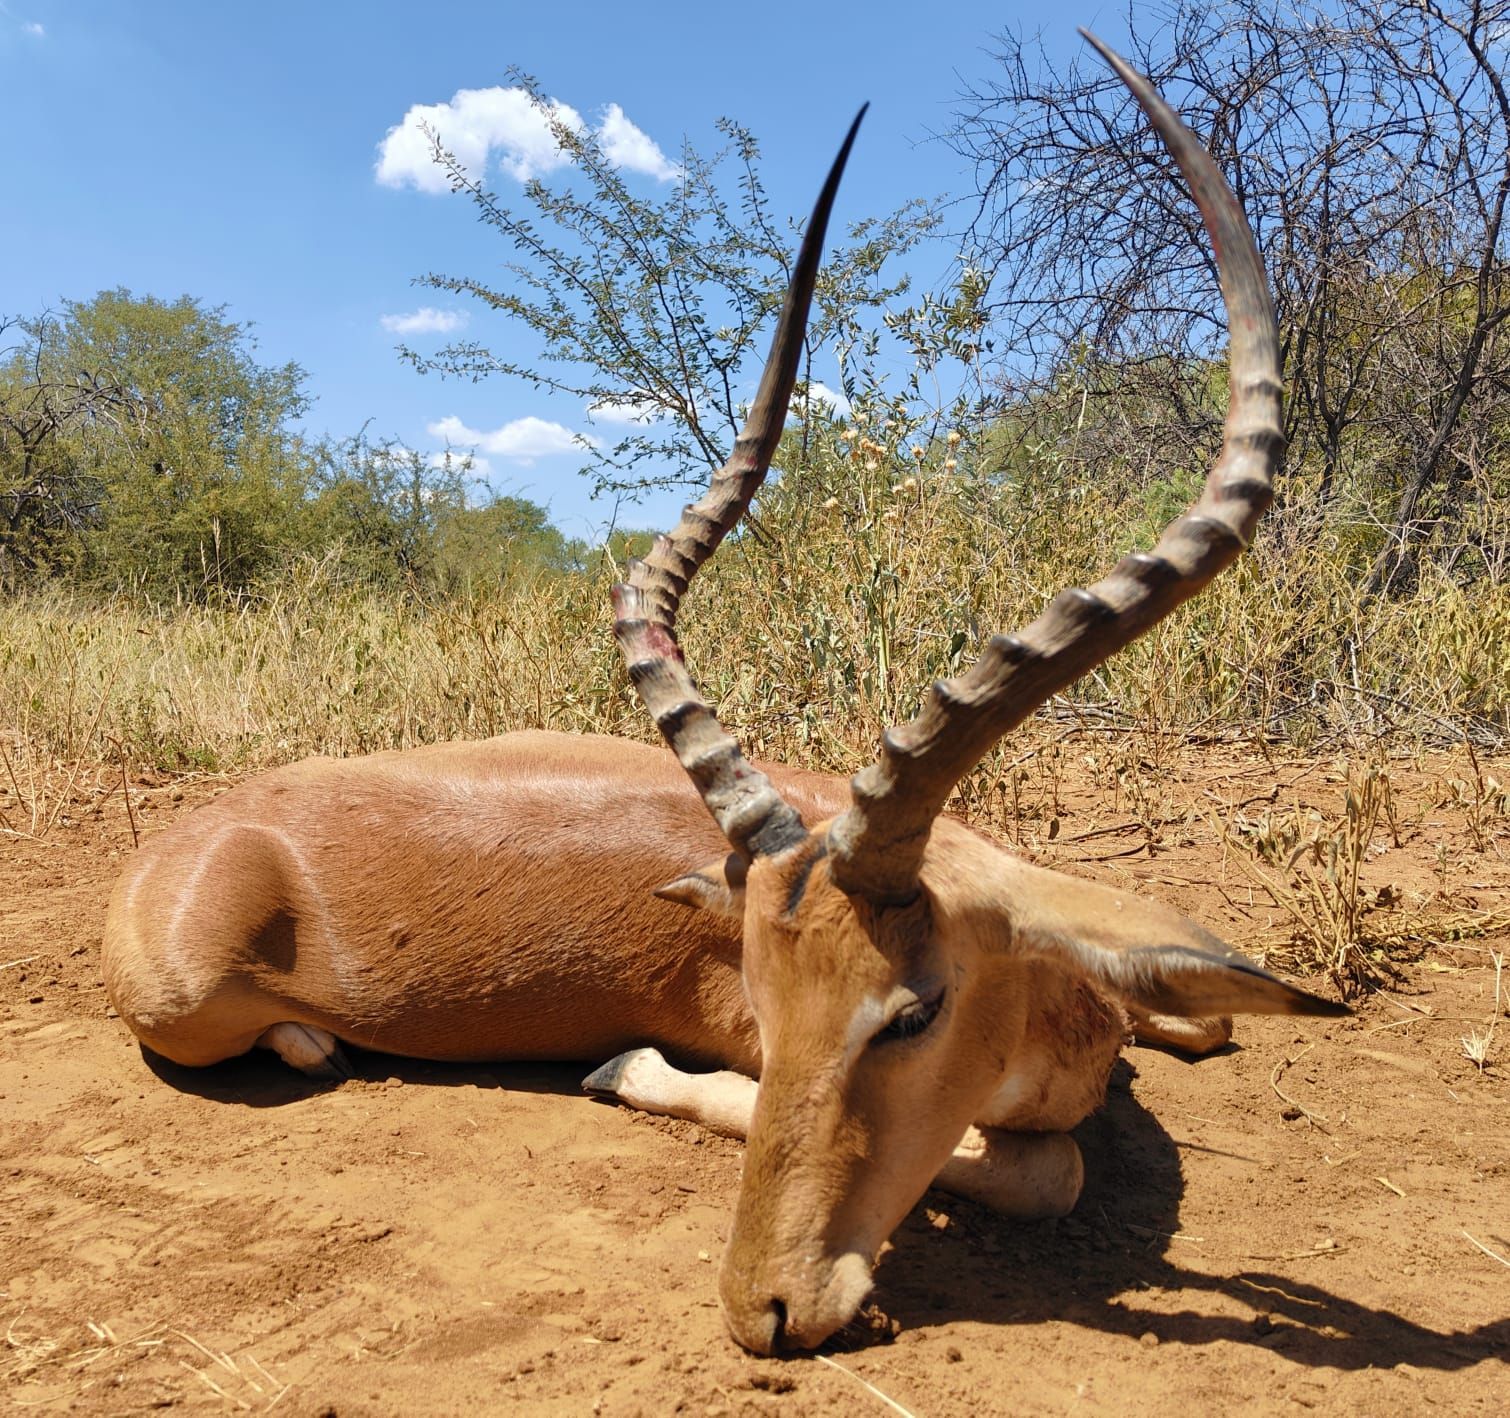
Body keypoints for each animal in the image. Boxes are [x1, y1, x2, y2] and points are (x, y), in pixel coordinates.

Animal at [102, 35, 1344, 1356]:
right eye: (761, 997)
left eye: (912, 1011)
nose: (766, 1306)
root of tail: (183, 840)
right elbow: (1032, 1163)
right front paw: (625, 1075)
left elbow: (1203, 1012)